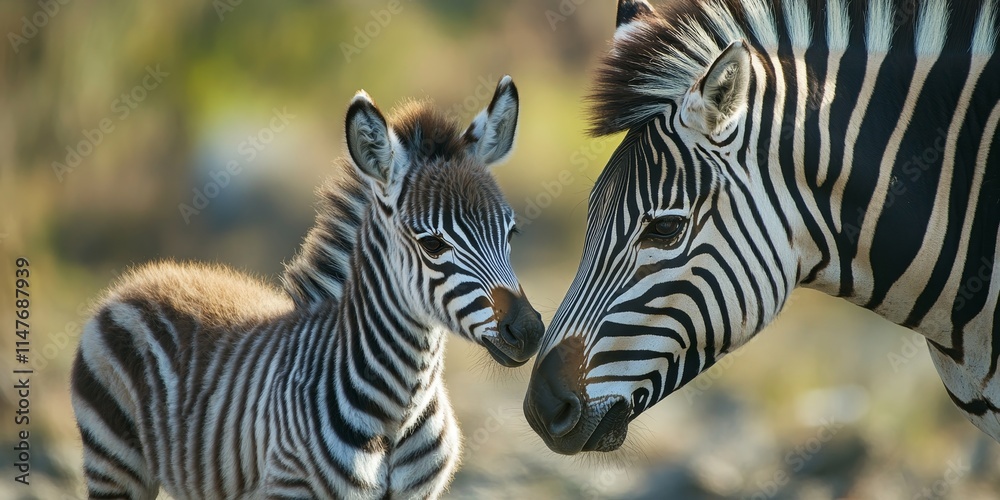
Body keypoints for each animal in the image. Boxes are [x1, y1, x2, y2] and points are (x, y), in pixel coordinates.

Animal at [71, 75, 545, 498]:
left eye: (512, 233)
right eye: (433, 244)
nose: (529, 331)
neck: (399, 411)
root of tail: (144, 276)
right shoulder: (290, 486)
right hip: (114, 462)